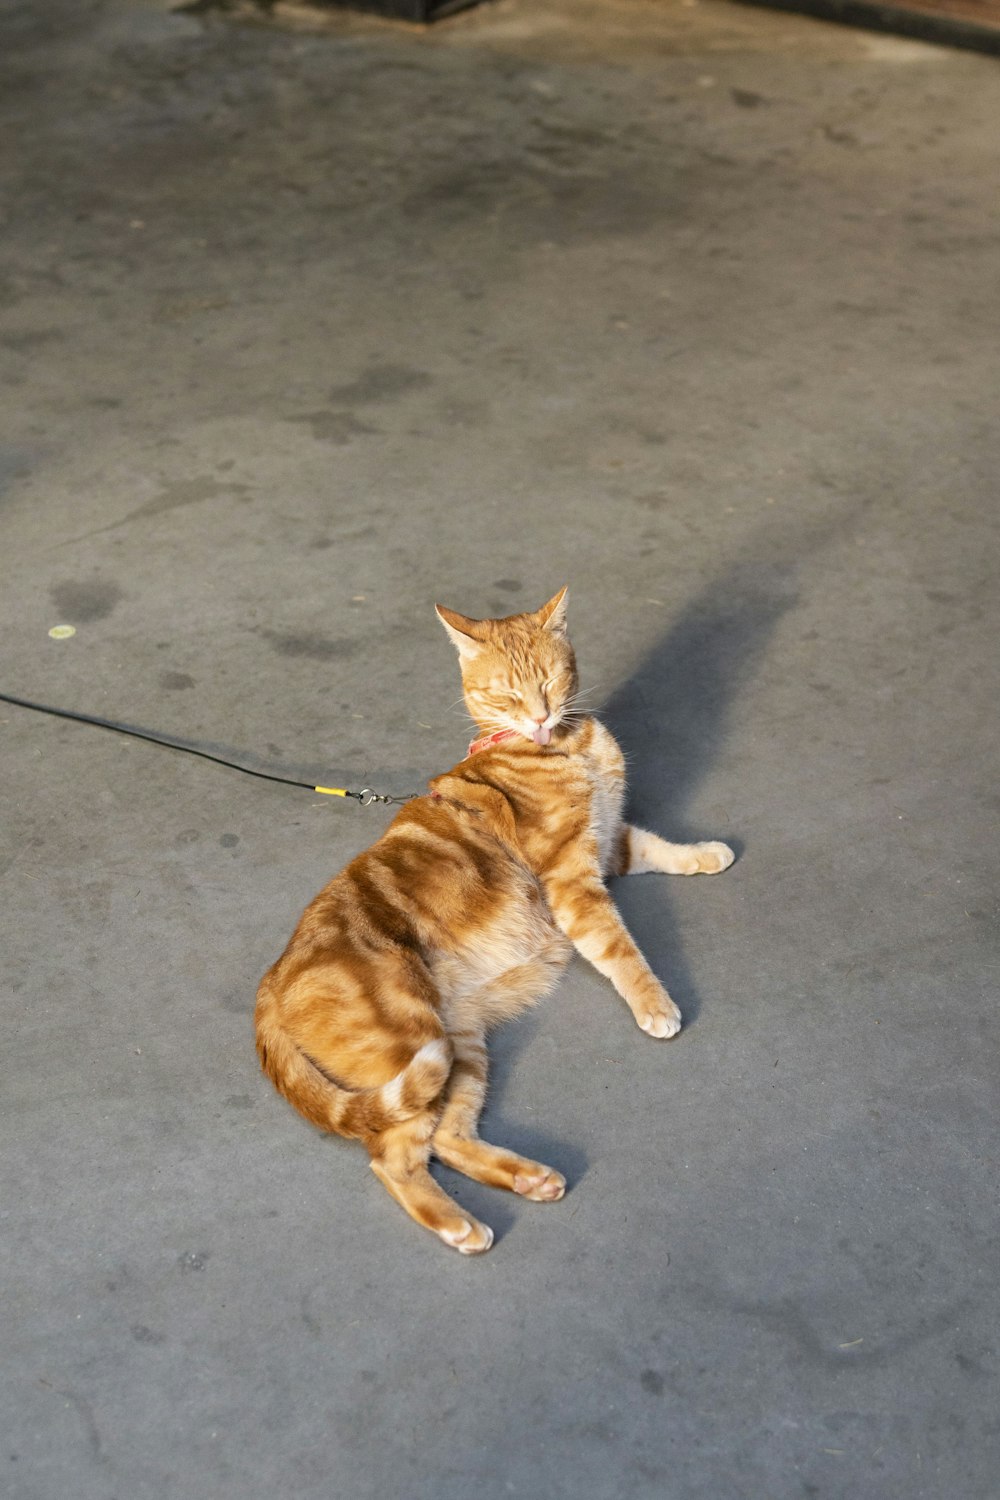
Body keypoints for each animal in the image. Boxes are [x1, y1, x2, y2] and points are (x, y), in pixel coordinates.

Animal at [254, 588, 731, 1254]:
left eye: (550, 681)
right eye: (507, 695)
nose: (539, 717)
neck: (565, 747)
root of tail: (270, 980)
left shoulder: (608, 846)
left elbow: (660, 847)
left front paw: (707, 854)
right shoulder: (572, 880)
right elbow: (622, 951)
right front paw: (655, 1005)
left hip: (459, 1049)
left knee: (448, 1140)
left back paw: (531, 1178)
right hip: (414, 1042)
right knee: (393, 1157)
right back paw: (461, 1225)